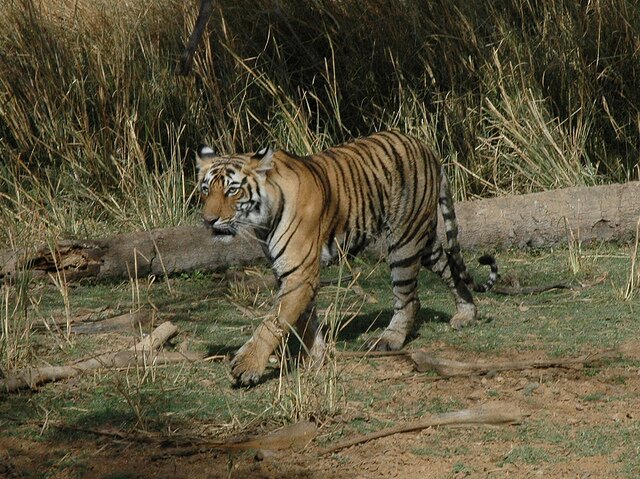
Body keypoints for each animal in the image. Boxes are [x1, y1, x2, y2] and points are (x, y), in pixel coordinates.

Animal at [198, 130, 498, 386]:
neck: (263, 219)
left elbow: (274, 322)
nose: (208, 220)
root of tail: (428, 149)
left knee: (410, 299)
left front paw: (247, 367)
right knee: (450, 265)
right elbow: (305, 320)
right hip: (424, 242)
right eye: (205, 190)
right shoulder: (291, 272)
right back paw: (466, 314)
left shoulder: (299, 272)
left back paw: (388, 340)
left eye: (232, 190)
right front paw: (316, 358)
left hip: (404, 240)